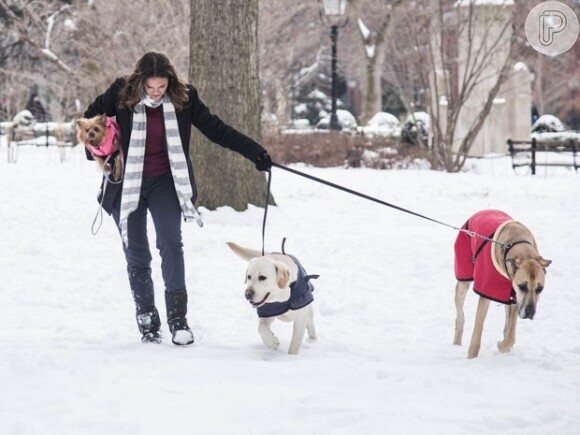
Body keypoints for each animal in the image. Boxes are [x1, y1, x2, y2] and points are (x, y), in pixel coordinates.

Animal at [454, 209, 552, 360]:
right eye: (522, 286)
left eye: (540, 288)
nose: (530, 312)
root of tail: (484, 210)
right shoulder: (488, 291)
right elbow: (478, 329)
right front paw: (471, 359)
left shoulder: (514, 296)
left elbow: (511, 334)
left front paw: (503, 346)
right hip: (463, 276)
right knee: (460, 316)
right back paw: (456, 344)